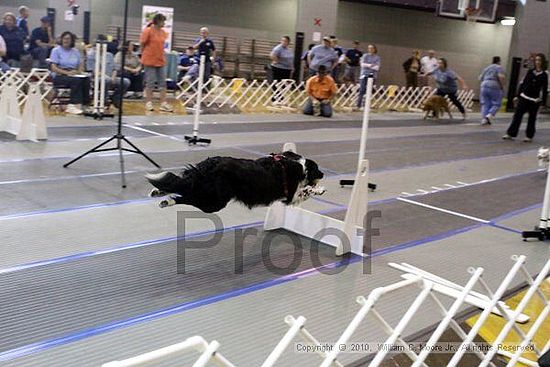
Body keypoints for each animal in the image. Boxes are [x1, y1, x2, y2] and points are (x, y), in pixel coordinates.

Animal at [147, 151, 328, 213]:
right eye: (318, 169)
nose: (324, 173)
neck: (300, 166)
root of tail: (208, 167)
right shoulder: (291, 196)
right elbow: (306, 191)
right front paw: (320, 189)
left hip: (203, 189)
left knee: (180, 184)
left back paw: (158, 193)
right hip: (214, 202)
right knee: (186, 197)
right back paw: (166, 201)